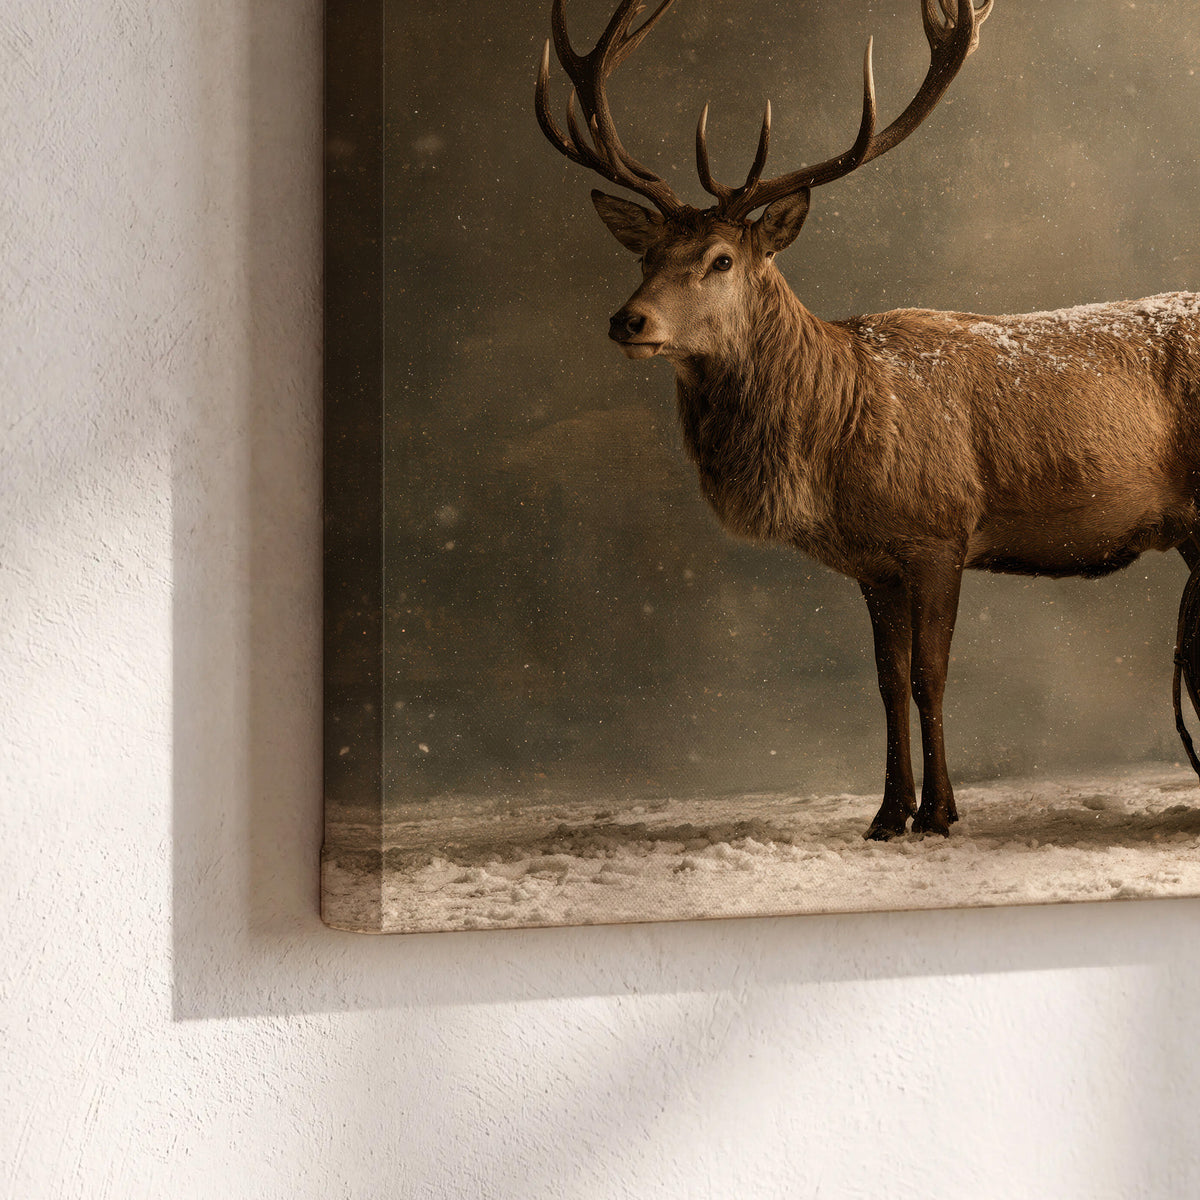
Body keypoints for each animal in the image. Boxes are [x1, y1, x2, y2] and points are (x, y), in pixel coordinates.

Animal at [535, 0, 1200, 839]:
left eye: (721, 259)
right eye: (644, 254)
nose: (629, 320)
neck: (837, 432)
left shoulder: (940, 531)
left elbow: (929, 676)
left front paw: (941, 814)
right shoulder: (872, 561)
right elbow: (884, 682)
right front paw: (888, 814)